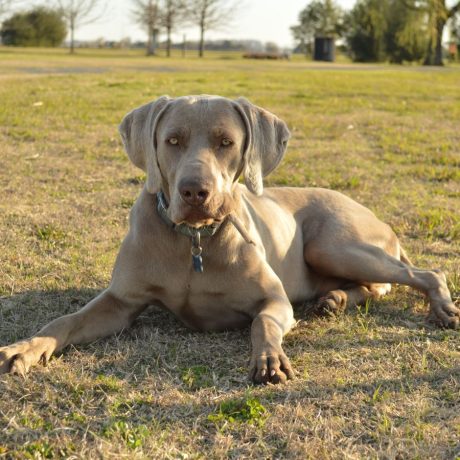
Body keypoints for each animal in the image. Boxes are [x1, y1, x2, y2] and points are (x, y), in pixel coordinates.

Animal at [1, 95, 458, 382]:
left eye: (227, 142)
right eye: (172, 141)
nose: (194, 192)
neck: (193, 240)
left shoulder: (274, 300)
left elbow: (262, 323)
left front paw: (269, 358)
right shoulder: (120, 302)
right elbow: (65, 320)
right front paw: (25, 349)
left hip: (332, 244)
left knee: (424, 273)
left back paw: (441, 308)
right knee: (370, 286)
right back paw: (334, 300)